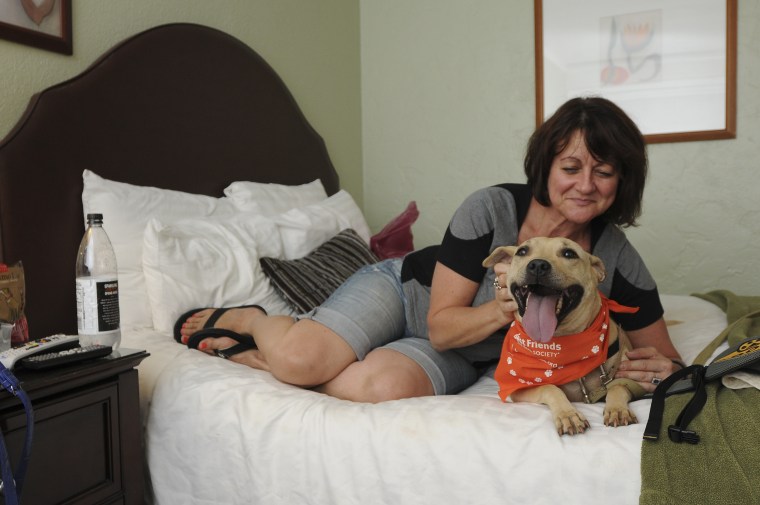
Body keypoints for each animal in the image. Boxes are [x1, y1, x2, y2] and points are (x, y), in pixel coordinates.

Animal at [484, 236, 644, 434]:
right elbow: (549, 387)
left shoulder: (632, 379)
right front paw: (568, 414)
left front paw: (617, 409)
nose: (537, 265)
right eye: (522, 251)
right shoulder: (519, 389)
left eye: (569, 254)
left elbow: (619, 386)